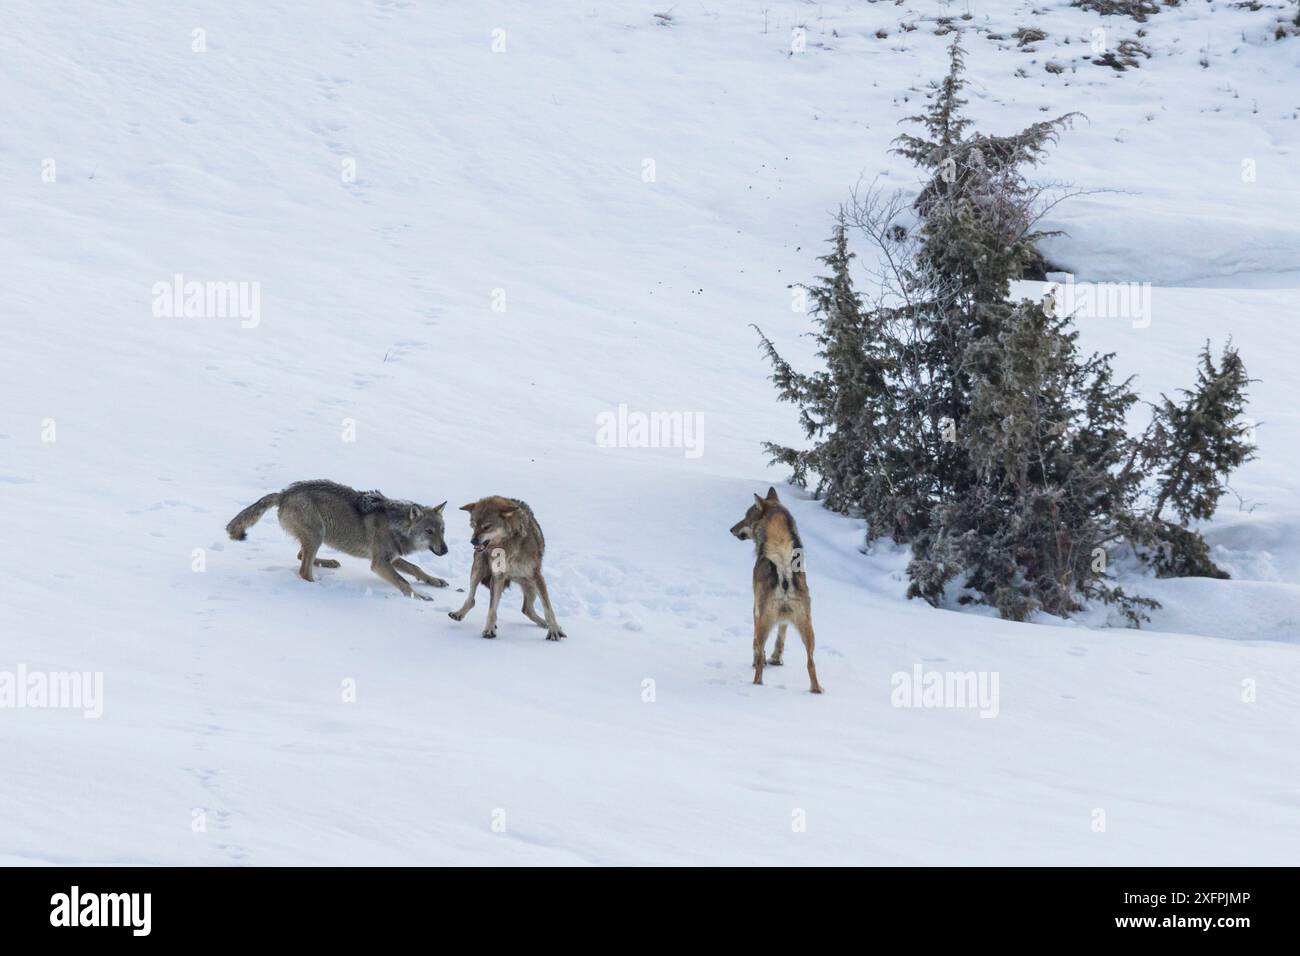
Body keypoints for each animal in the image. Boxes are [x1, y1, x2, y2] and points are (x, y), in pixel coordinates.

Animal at [231, 478, 454, 598]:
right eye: (429, 531)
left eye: (442, 530)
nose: (445, 551)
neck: (396, 525)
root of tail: (284, 493)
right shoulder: (379, 563)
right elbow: (403, 582)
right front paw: (421, 597)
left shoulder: (392, 558)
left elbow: (417, 569)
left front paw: (435, 581)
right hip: (318, 534)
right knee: (303, 570)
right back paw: (318, 587)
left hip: (317, 537)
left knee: (300, 556)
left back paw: (329, 562)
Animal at [447, 496, 564, 639]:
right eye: (473, 526)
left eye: (487, 527)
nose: (473, 542)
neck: (508, 546)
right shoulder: (498, 577)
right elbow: (492, 610)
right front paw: (489, 630)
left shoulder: (537, 576)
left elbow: (548, 609)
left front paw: (554, 631)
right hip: (477, 570)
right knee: (472, 598)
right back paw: (458, 614)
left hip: (531, 585)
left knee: (527, 609)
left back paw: (546, 624)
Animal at [733, 489, 821, 691]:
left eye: (746, 516)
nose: (731, 529)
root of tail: (785, 579)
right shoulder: (784, 620)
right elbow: (781, 637)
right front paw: (776, 659)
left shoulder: (755, 609)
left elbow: (757, 648)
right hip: (808, 630)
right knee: (811, 664)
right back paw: (816, 691)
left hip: (764, 624)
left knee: (759, 664)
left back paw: (756, 684)